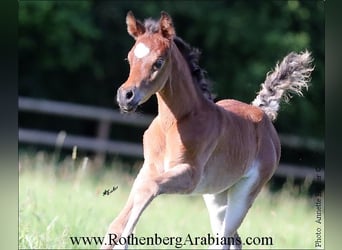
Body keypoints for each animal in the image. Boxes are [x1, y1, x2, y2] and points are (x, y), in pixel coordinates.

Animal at [101, 11, 312, 250]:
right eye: (130, 59)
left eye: (158, 62)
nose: (125, 97)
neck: (173, 124)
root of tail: (264, 114)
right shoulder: (149, 168)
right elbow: (121, 218)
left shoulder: (189, 175)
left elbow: (149, 190)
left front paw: (126, 242)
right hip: (216, 196)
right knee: (232, 239)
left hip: (244, 193)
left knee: (224, 239)